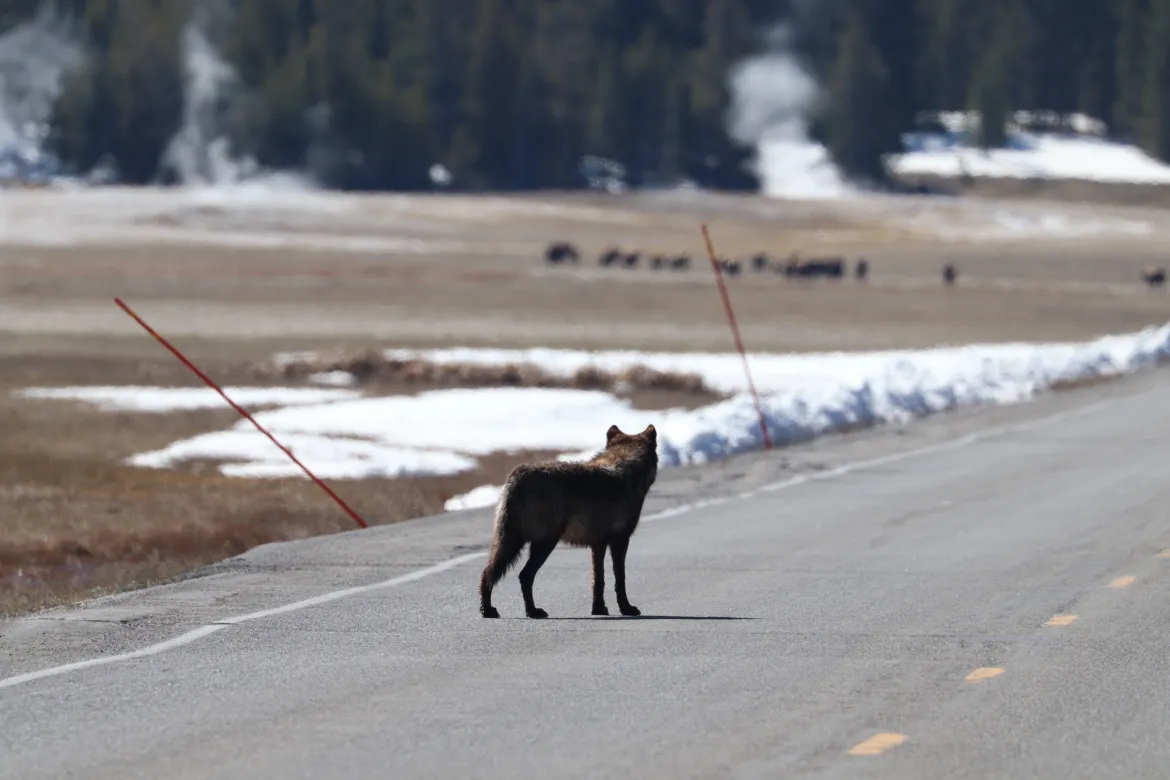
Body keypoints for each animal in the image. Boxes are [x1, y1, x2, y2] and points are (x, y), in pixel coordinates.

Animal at [478, 423, 659, 619]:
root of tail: (519, 475)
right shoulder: (620, 541)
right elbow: (620, 578)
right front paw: (626, 608)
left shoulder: (598, 544)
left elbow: (598, 580)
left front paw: (599, 609)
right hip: (544, 543)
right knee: (524, 575)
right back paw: (532, 611)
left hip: (510, 542)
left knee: (488, 572)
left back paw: (489, 610)